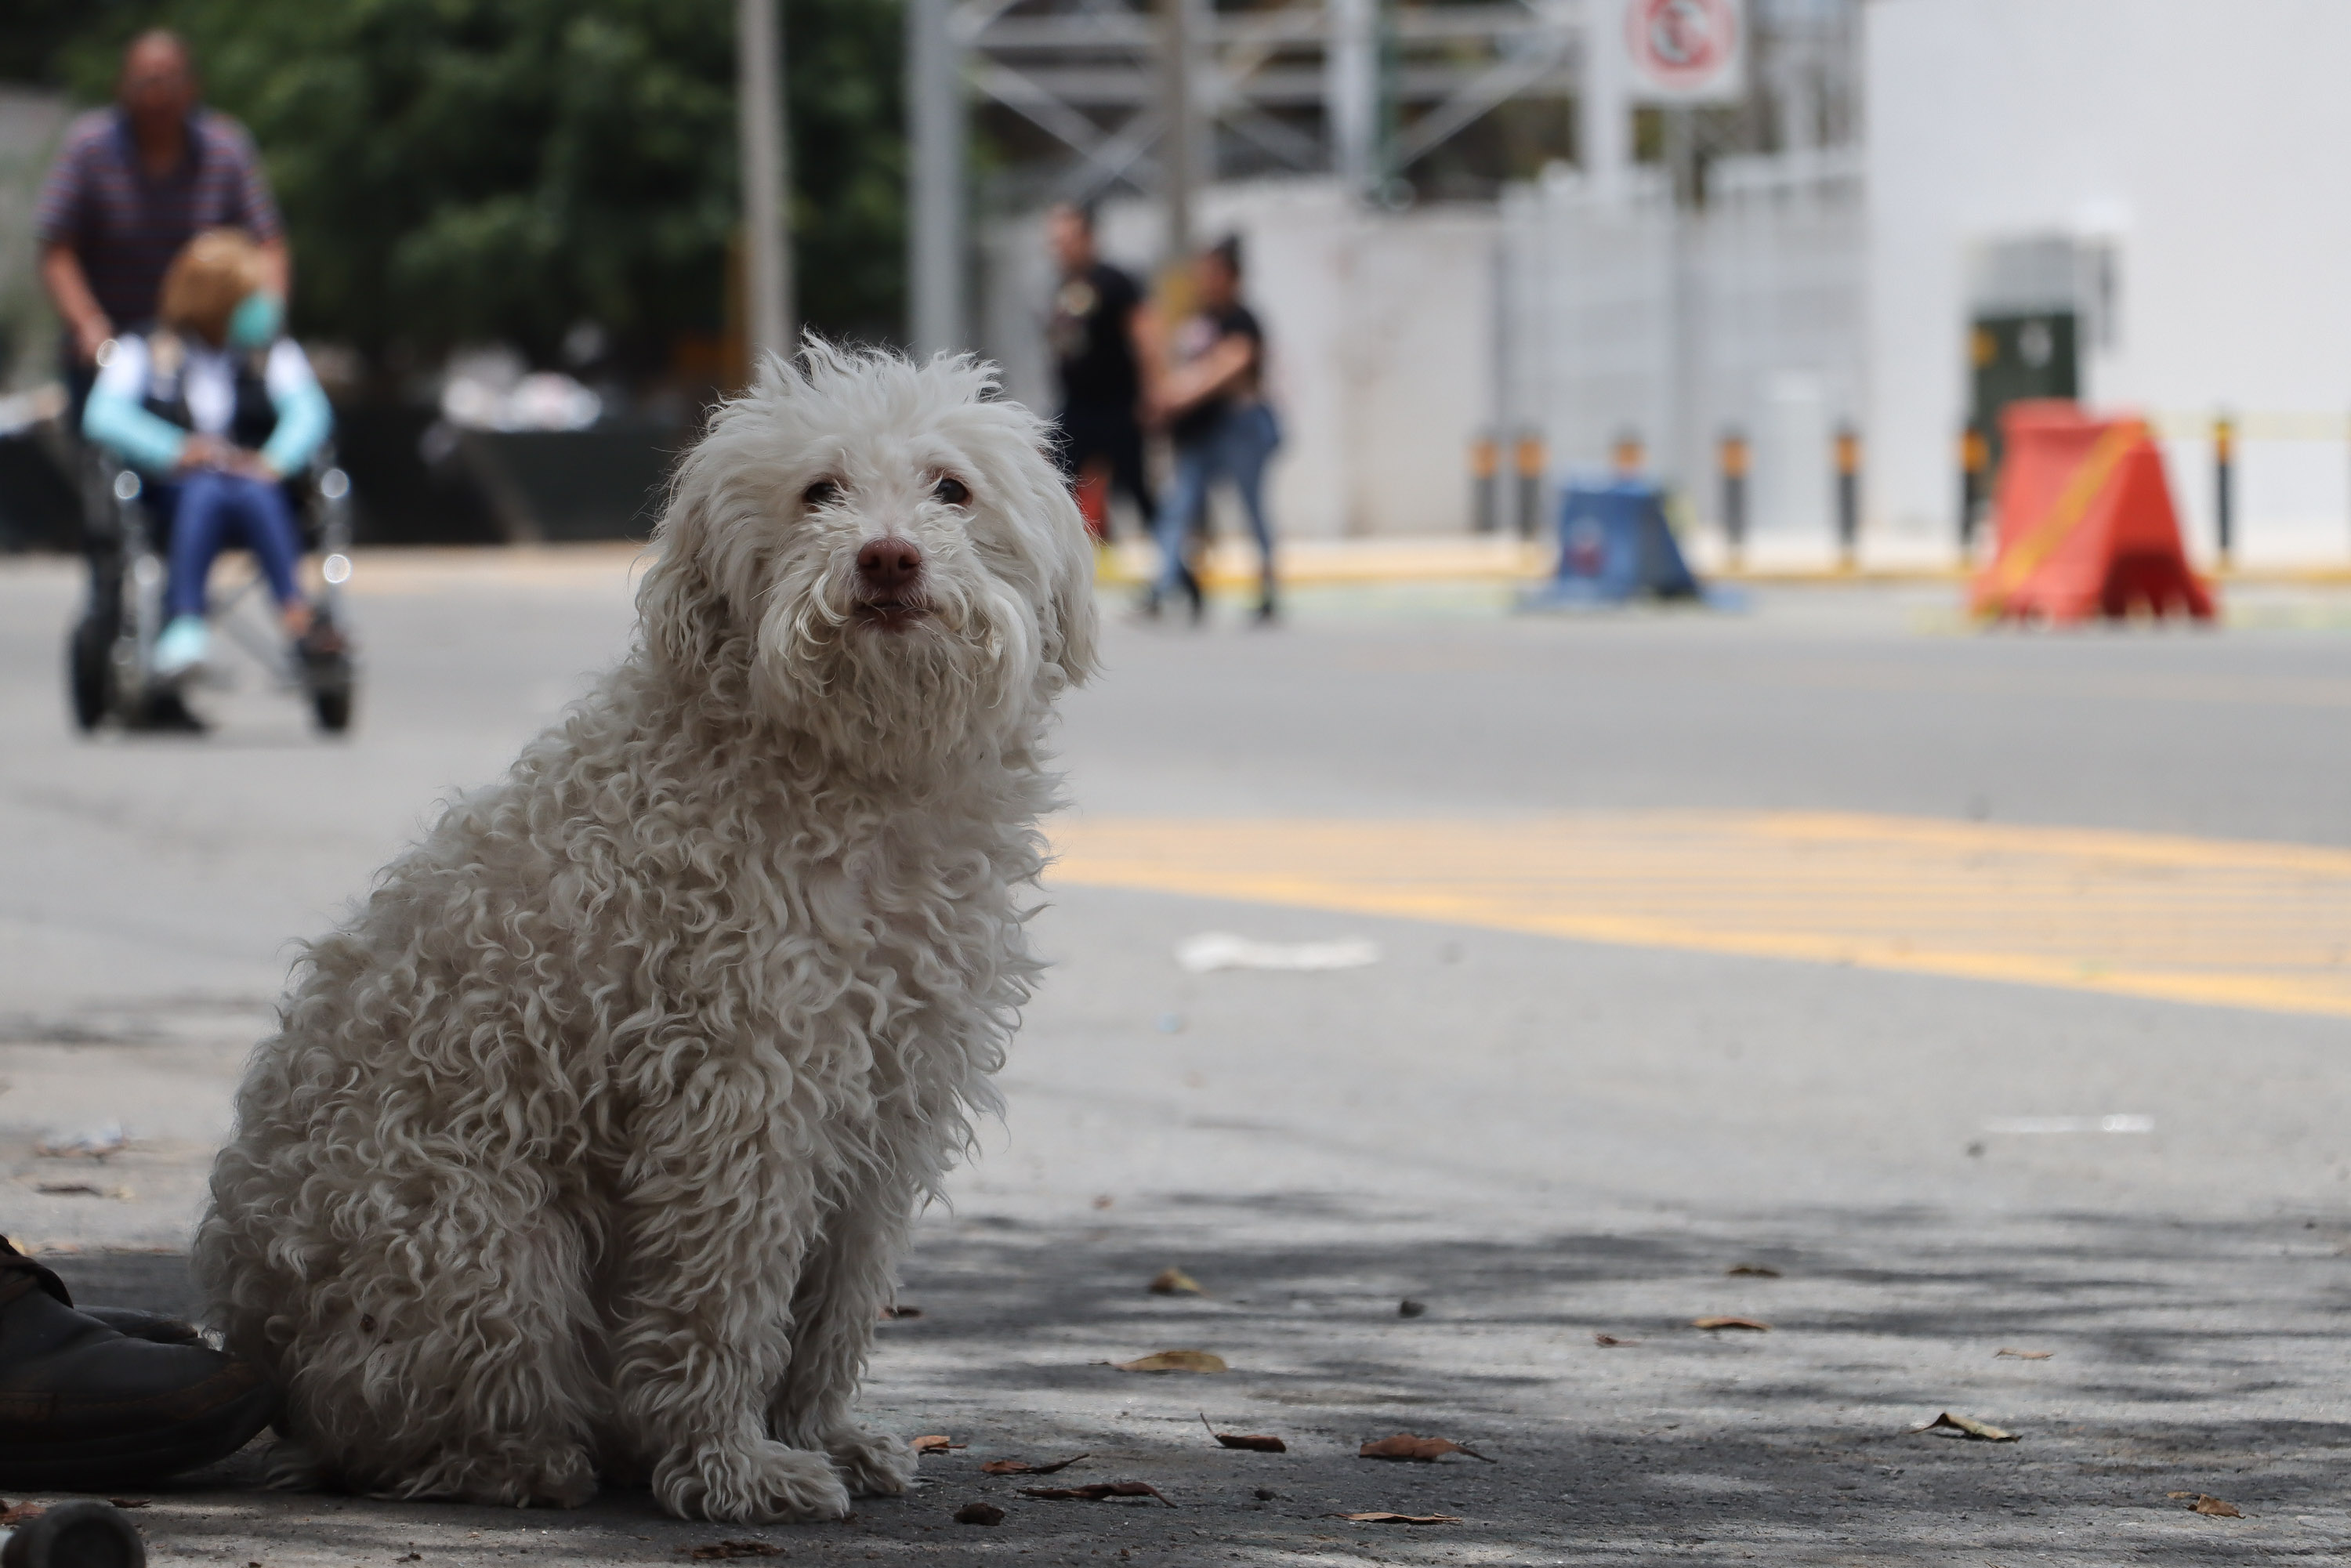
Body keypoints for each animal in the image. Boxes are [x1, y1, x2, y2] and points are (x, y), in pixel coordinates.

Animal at [190, 341, 1091, 1523]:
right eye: (820, 491)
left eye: (951, 487)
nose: (889, 559)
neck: (859, 772)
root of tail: (264, 1341)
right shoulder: (743, 1103)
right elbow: (725, 1301)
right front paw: (734, 1466)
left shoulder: (887, 1103)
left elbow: (835, 1303)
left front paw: (821, 1435)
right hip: (477, 1242)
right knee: (409, 1424)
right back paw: (521, 1461)